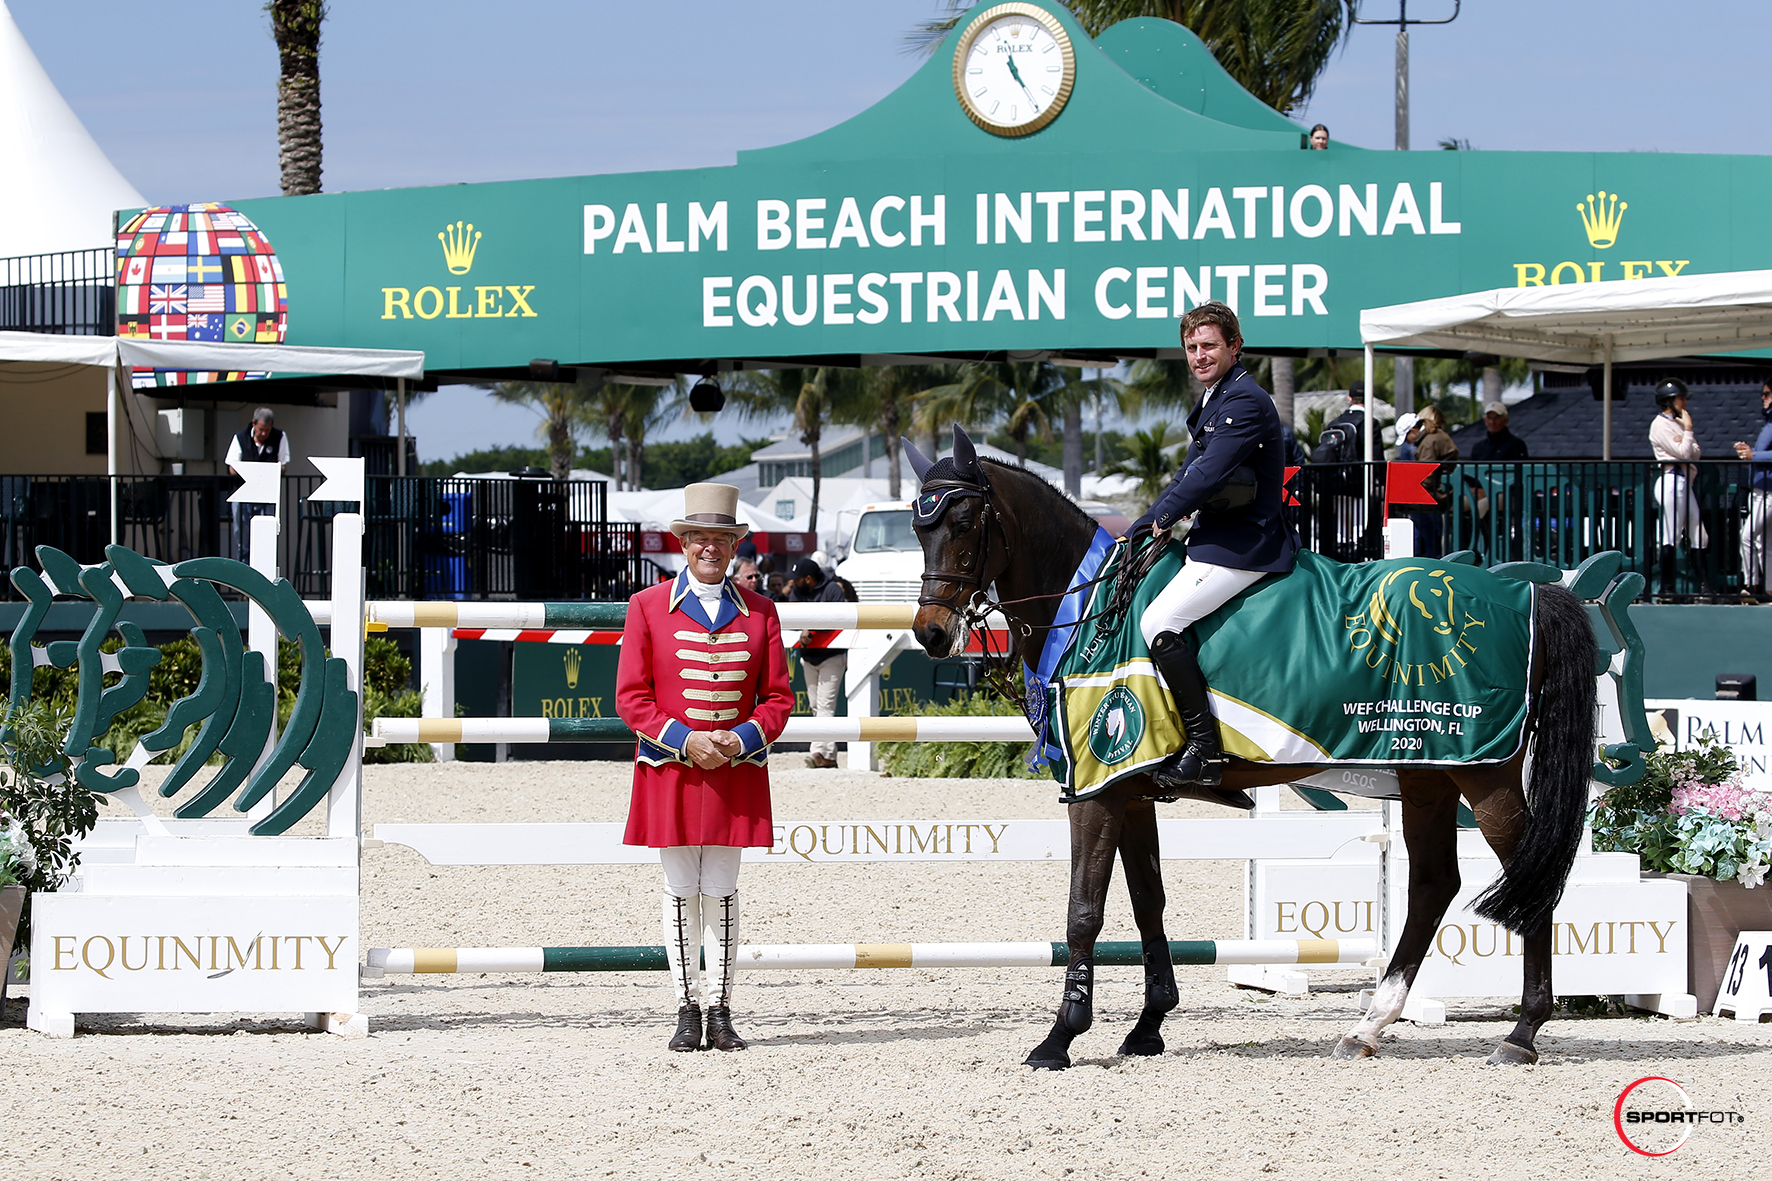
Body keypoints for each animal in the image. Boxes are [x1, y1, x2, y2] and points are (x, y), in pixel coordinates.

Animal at [907, 425, 1601, 1063]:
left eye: (965, 522)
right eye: (919, 528)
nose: (932, 634)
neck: (1092, 605)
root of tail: (1528, 592)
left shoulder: (1099, 790)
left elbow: (1086, 909)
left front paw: (1060, 1038)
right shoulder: (1131, 791)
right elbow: (1148, 903)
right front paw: (1148, 1026)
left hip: (1482, 772)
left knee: (1532, 874)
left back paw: (1522, 1032)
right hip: (1427, 771)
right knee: (1434, 884)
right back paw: (1370, 1026)